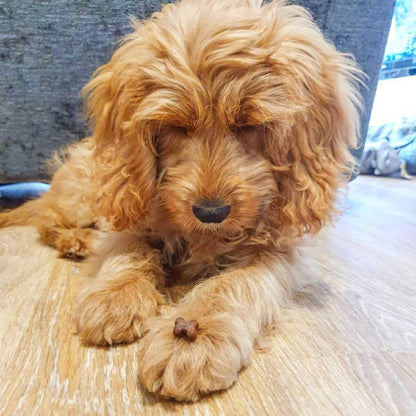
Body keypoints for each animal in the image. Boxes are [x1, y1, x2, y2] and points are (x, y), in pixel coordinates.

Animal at [0, 0, 360, 404]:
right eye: (175, 126)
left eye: (250, 124)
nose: (211, 212)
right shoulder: (130, 214)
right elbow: (130, 247)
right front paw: (115, 296)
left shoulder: (283, 248)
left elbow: (235, 282)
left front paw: (193, 337)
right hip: (86, 194)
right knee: (47, 218)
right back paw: (77, 240)